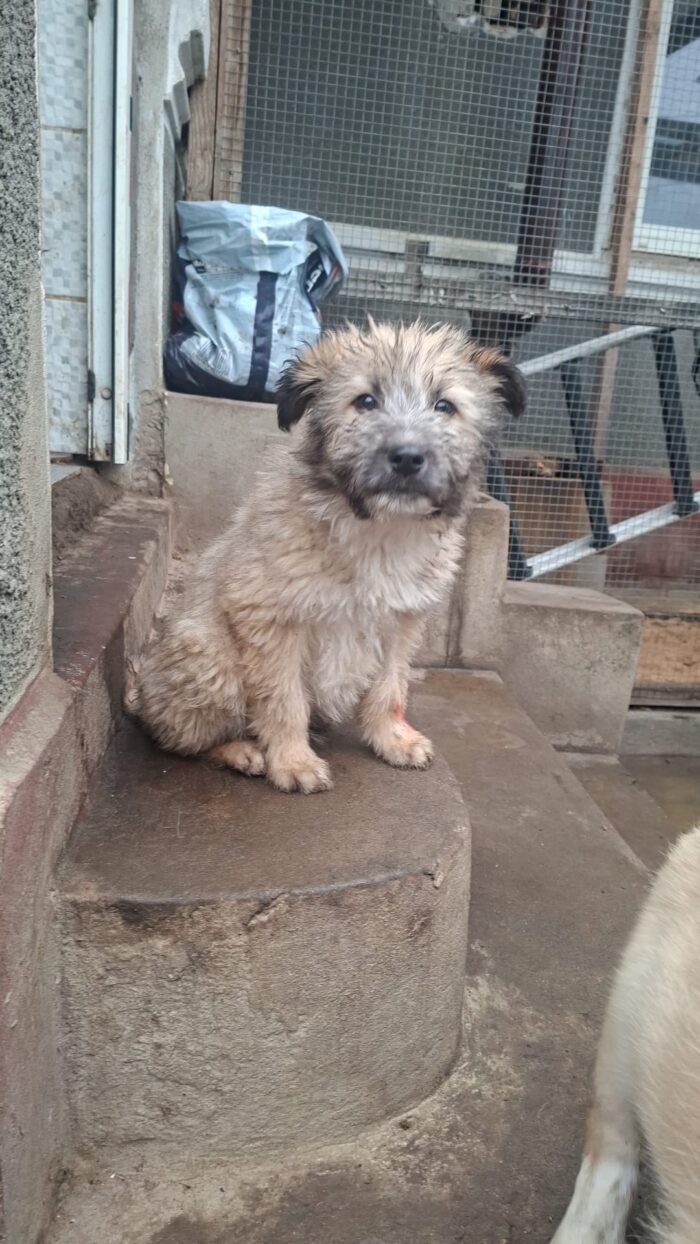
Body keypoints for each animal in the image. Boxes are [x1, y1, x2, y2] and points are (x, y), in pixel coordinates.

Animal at [130, 320, 524, 793]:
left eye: (444, 405)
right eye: (365, 400)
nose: (407, 457)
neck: (378, 529)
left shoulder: (402, 622)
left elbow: (391, 689)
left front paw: (391, 738)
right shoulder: (270, 617)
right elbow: (283, 700)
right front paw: (293, 761)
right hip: (208, 659)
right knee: (179, 737)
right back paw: (242, 750)